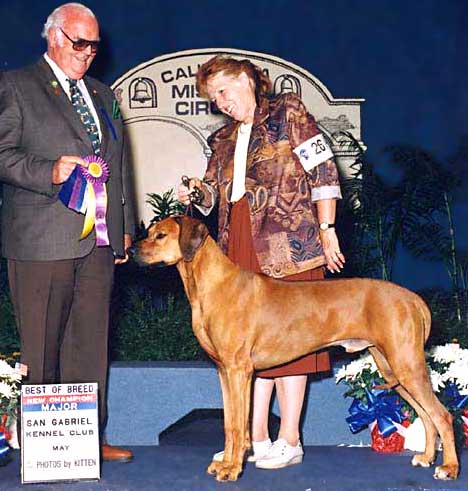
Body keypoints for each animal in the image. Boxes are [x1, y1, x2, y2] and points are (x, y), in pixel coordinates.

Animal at [133, 216, 458, 484]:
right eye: (149, 233)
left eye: (160, 235)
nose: (131, 251)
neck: (211, 284)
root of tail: (412, 298)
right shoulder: (224, 372)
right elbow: (228, 424)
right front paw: (225, 463)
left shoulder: (239, 371)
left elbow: (239, 425)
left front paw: (233, 469)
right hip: (392, 370)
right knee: (426, 414)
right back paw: (427, 457)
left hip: (406, 365)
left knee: (442, 415)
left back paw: (449, 468)